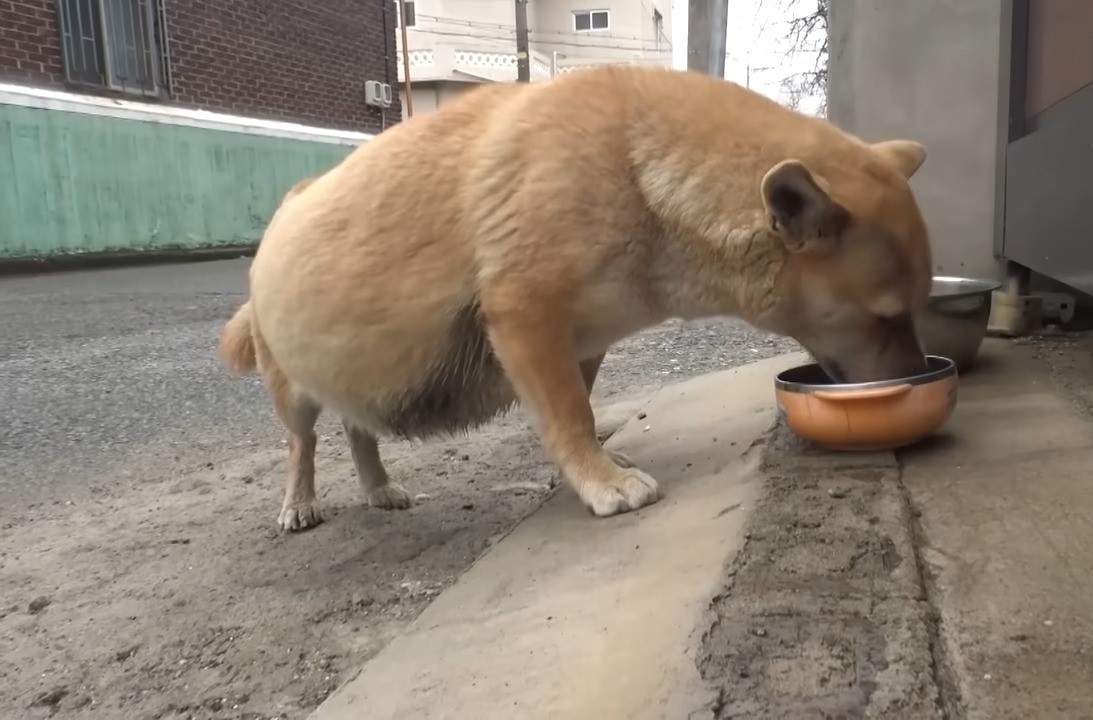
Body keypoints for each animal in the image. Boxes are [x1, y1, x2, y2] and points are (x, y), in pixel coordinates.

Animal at [219, 66, 931, 528]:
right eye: (886, 317)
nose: (919, 383)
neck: (639, 171)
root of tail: (283, 212)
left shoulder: (581, 343)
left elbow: (579, 411)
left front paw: (596, 465)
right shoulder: (524, 322)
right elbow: (568, 416)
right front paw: (602, 482)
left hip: (356, 376)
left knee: (358, 428)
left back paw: (376, 487)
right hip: (292, 394)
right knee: (303, 445)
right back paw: (299, 503)